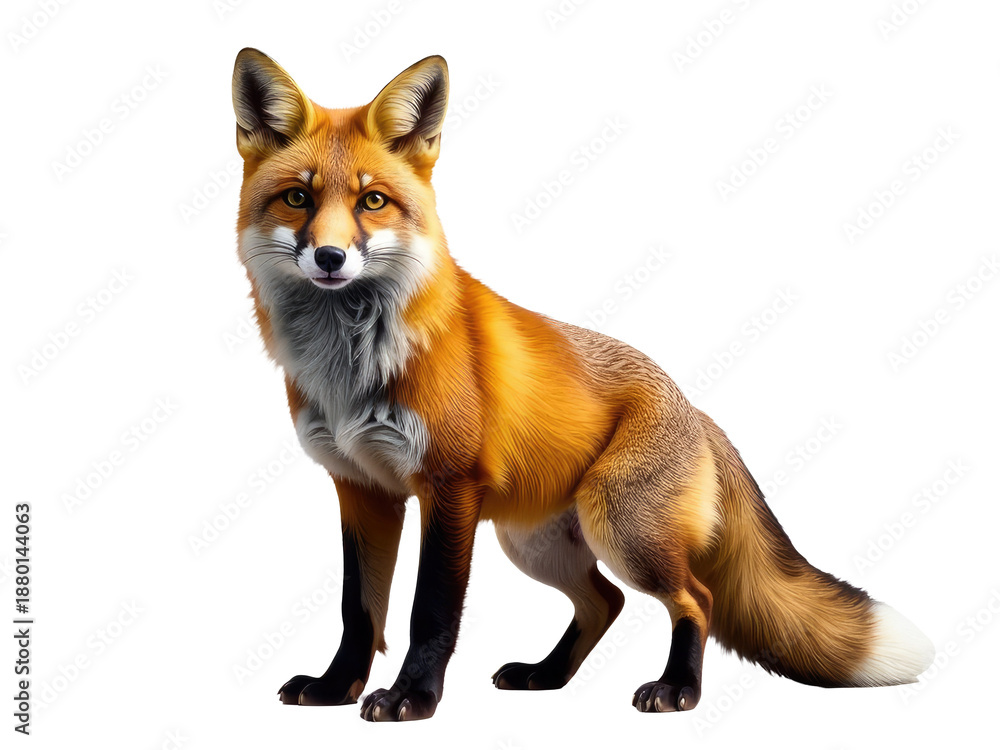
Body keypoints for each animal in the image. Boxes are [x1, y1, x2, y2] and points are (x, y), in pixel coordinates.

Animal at [231, 48, 934, 722]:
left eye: (371, 201)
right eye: (298, 198)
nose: (329, 257)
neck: (352, 365)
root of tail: (695, 407)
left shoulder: (448, 486)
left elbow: (428, 612)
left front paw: (413, 699)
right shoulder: (361, 488)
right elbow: (358, 609)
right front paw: (335, 687)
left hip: (618, 526)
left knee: (695, 599)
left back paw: (677, 689)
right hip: (535, 543)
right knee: (606, 601)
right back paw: (547, 675)